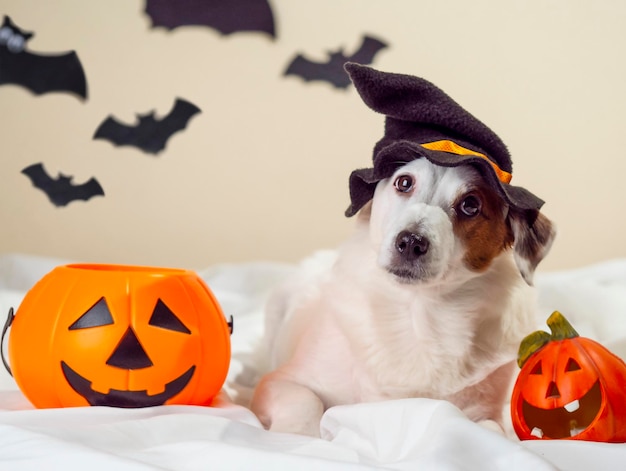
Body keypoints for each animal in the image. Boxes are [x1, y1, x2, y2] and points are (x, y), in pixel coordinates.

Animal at [247, 64, 552, 436]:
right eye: (404, 182)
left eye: (471, 205)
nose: (410, 242)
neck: (419, 315)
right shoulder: (282, 381)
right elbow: (304, 400)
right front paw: (296, 435)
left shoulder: (485, 412)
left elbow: (491, 431)